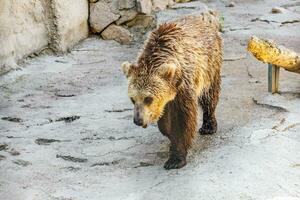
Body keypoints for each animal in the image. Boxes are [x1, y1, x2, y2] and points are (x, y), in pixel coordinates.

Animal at [122, 10, 223, 170]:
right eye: (132, 99)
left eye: (148, 98)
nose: (138, 120)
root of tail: (204, 20)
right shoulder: (166, 98)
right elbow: (165, 120)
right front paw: (168, 133)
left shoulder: (184, 87)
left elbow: (183, 119)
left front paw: (175, 159)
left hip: (210, 64)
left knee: (209, 96)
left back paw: (208, 126)